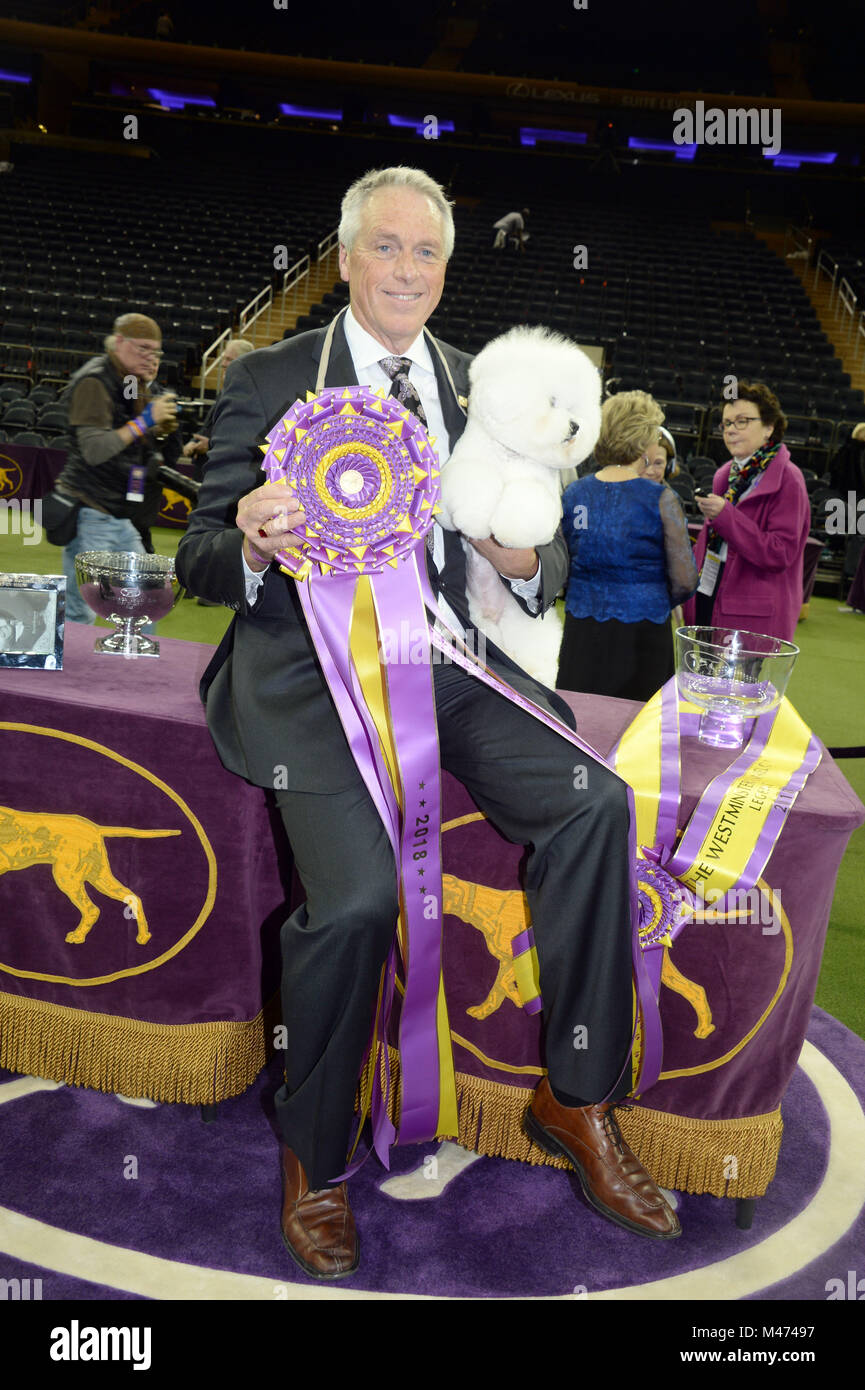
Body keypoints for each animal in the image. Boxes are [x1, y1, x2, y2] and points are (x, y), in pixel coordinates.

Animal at [439, 330, 603, 689]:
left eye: (574, 408)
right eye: (552, 402)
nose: (575, 426)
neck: (511, 455)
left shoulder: (541, 491)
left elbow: (526, 505)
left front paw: (508, 532)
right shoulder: (460, 471)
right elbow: (472, 487)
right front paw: (474, 520)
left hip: (528, 632)